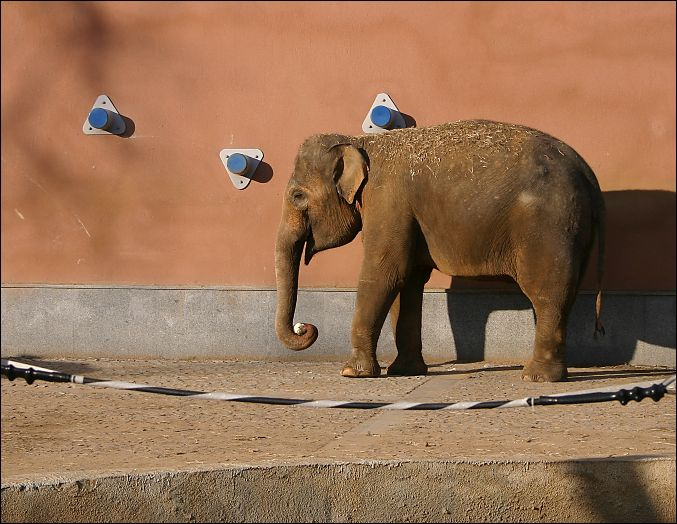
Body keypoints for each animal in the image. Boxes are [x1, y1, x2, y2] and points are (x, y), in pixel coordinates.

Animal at [274, 120, 605, 382]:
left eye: (298, 196)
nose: (305, 327)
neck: (362, 143)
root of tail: (589, 175)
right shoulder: (405, 214)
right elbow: (408, 281)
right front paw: (404, 371)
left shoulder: (388, 201)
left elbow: (384, 275)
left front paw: (352, 373)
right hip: (571, 230)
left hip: (551, 227)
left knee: (548, 295)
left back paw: (536, 378)